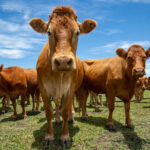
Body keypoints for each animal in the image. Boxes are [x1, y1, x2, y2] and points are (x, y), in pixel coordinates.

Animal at [29, 5, 97, 148]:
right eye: (49, 32)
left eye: (77, 32)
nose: (63, 61)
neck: (57, 75)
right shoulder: (44, 89)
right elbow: (49, 111)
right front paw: (49, 136)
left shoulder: (70, 89)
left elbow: (65, 111)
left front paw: (65, 137)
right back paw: (57, 120)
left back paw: (71, 118)